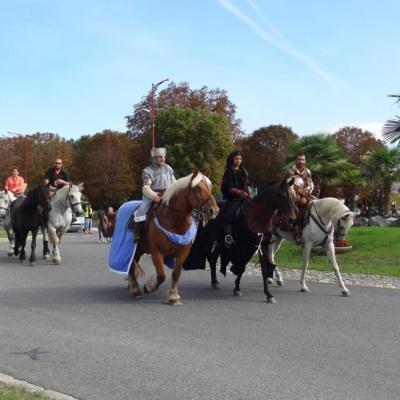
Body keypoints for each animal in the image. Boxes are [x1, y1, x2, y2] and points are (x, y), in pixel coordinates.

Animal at [128, 170, 219, 306]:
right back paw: (135, 290)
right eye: (197, 188)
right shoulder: (156, 252)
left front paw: (174, 296)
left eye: (210, 187)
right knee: (131, 266)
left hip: (140, 250)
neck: (172, 220)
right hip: (136, 250)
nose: (214, 210)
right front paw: (149, 287)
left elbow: (176, 273)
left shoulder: (183, 253)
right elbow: (161, 276)